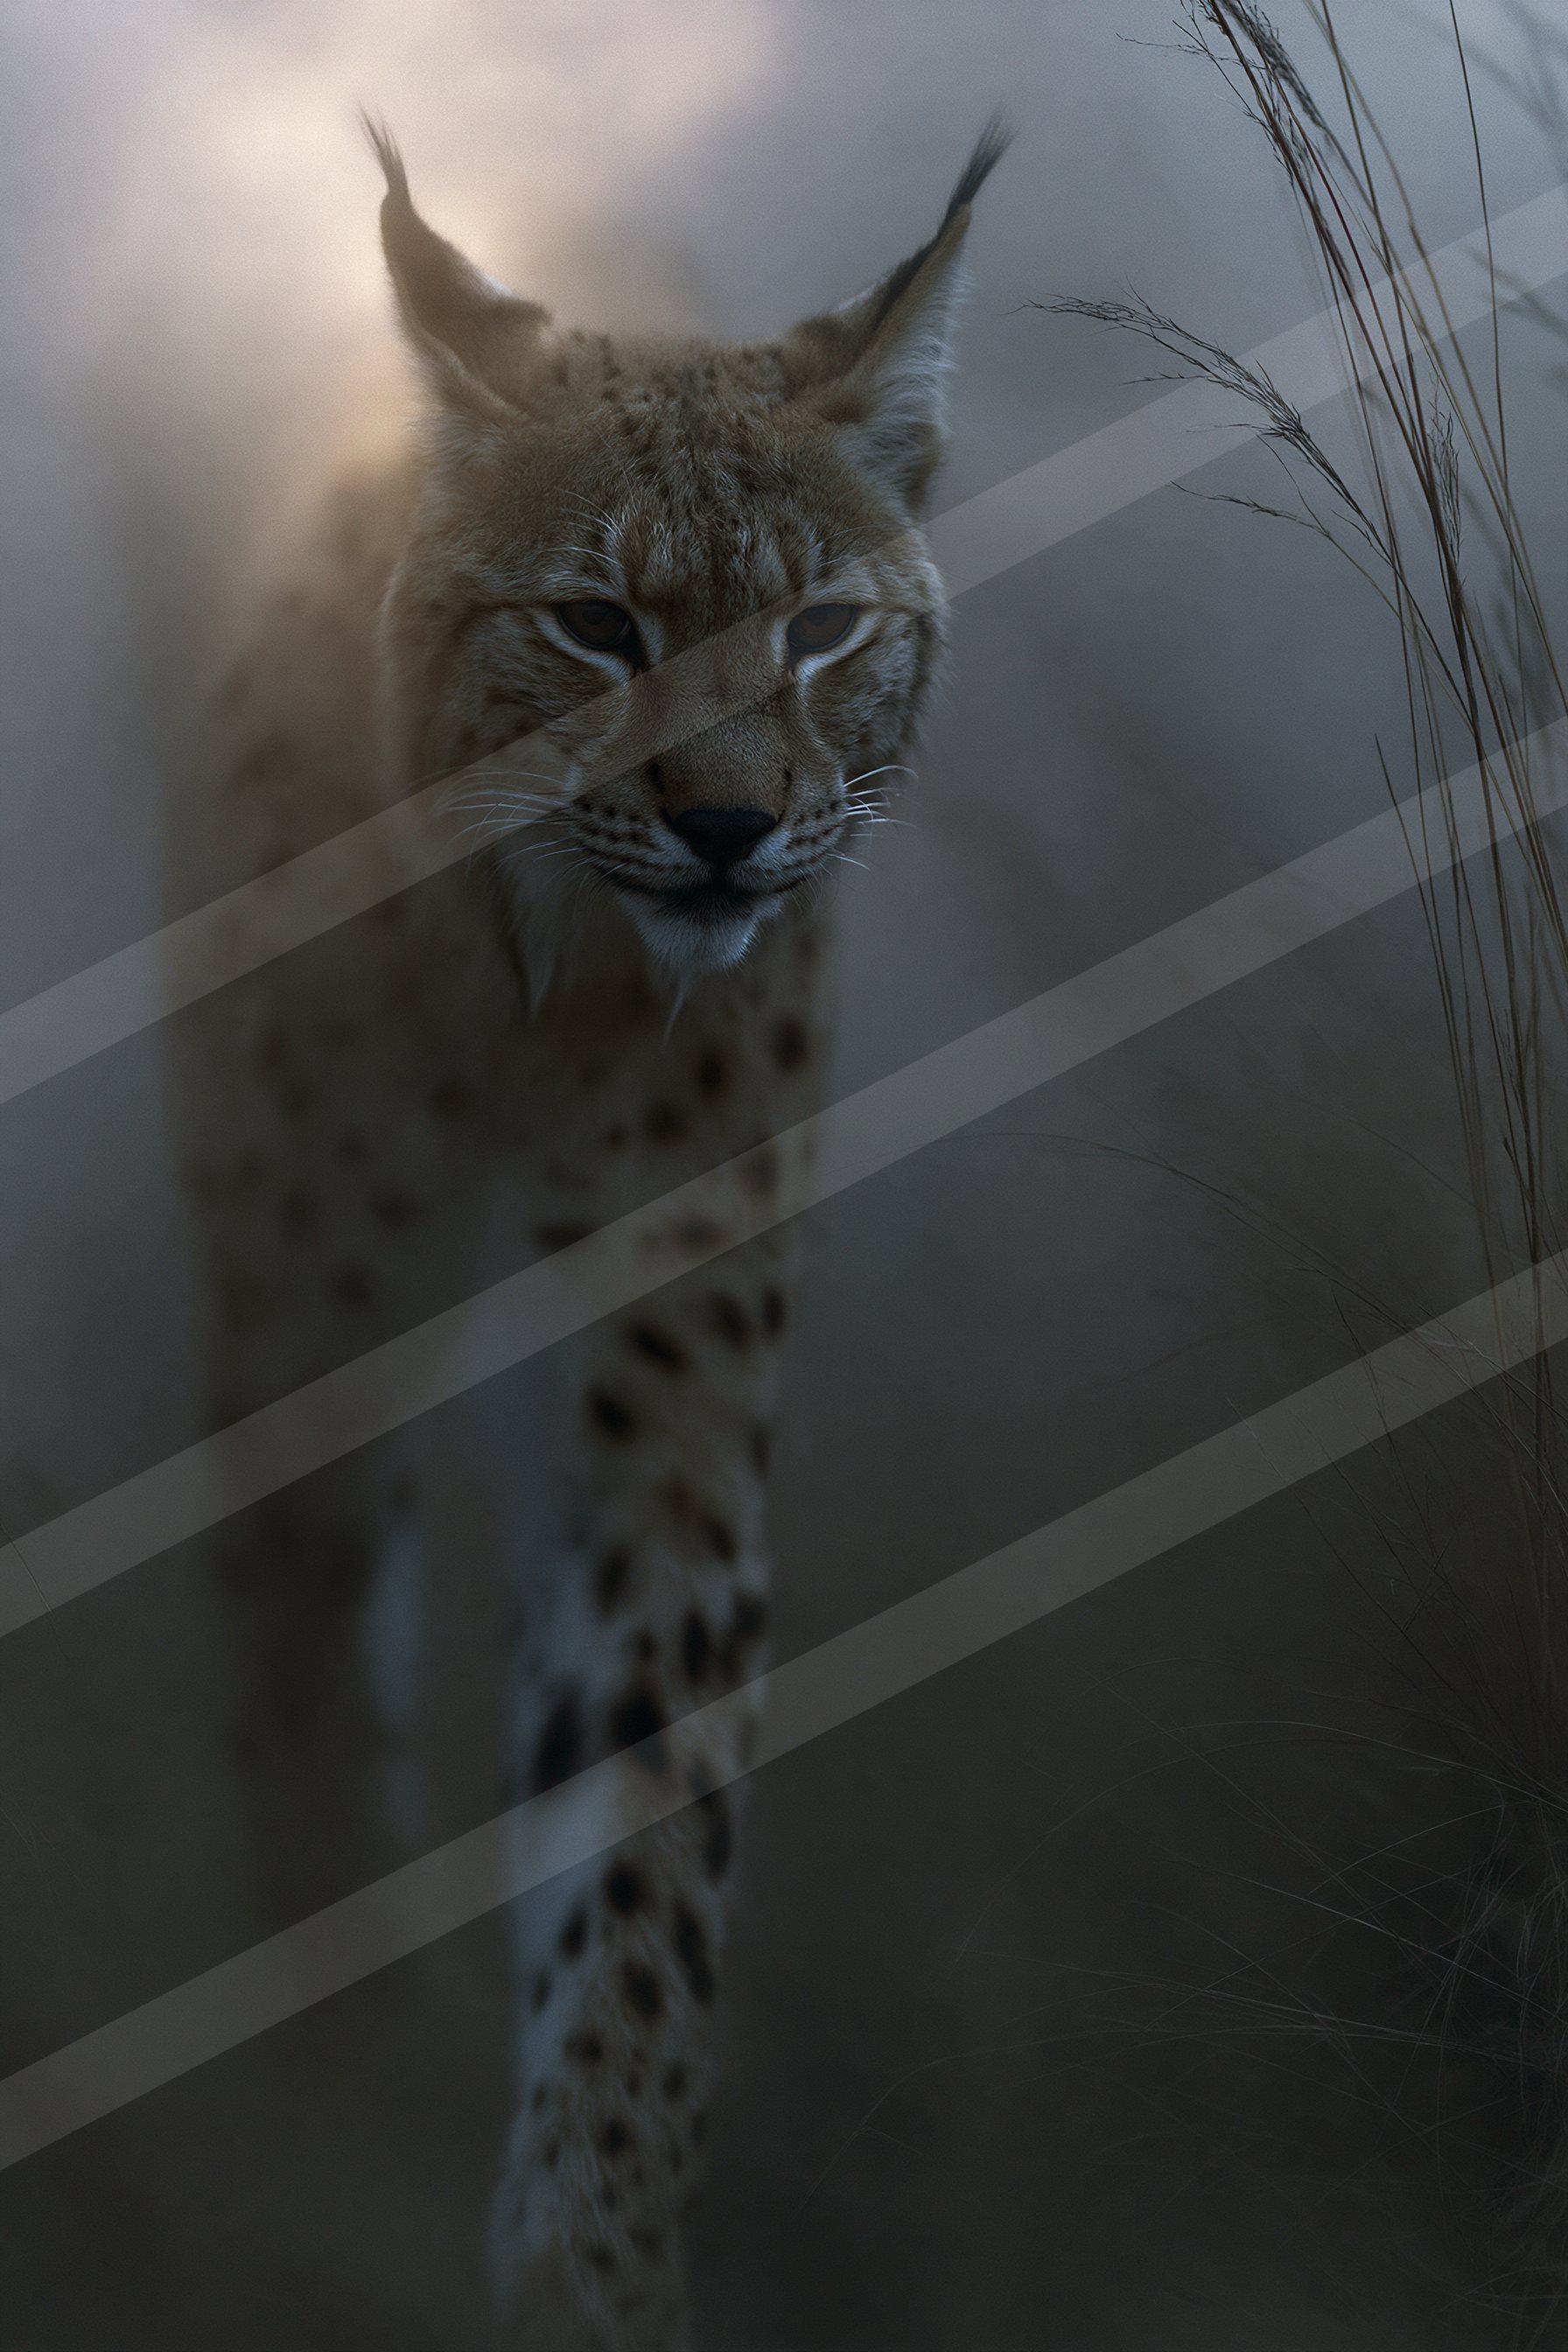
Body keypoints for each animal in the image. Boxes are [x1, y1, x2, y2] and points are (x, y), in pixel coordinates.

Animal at [164, 114, 1009, 2350]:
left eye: (817, 634)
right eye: (597, 627)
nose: (726, 829)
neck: (540, 984)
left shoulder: (668, 1404)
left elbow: (642, 1834)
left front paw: (590, 2270)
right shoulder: (304, 1341)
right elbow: (298, 1710)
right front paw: (320, 2148)